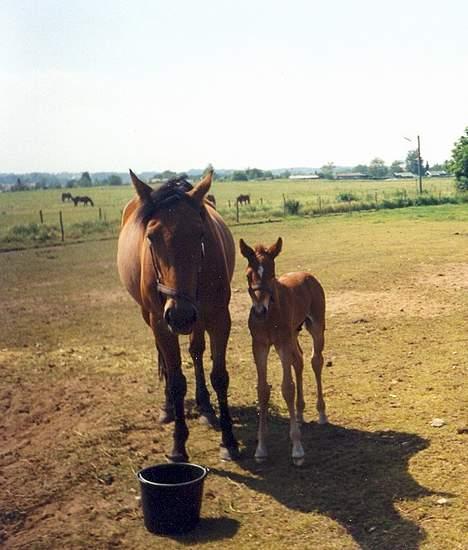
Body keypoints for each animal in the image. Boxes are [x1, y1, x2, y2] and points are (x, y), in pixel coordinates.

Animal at [115, 170, 239, 464]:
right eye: (151, 236)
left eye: (200, 233)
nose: (180, 315)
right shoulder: (162, 322)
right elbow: (176, 381)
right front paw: (178, 445)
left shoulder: (218, 317)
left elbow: (219, 376)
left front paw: (228, 440)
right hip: (154, 316)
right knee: (166, 360)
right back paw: (168, 408)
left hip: (197, 317)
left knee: (196, 351)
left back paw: (205, 407)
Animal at [239, 237, 328, 466]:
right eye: (248, 275)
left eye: (271, 274)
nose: (259, 311)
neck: (270, 314)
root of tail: (307, 275)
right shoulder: (259, 345)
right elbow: (262, 390)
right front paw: (261, 449)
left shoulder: (281, 344)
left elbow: (287, 387)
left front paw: (297, 449)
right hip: (293, 334)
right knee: (299, 361)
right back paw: (300, 413)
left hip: (315, 326)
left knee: (316, 361)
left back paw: (321, 413)